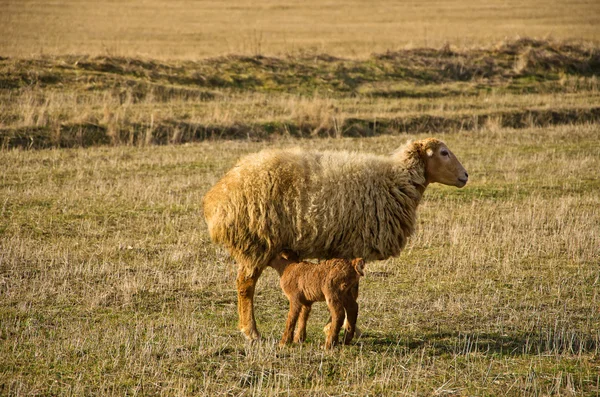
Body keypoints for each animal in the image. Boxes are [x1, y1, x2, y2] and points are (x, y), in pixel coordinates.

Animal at [204, 138, 472, 338]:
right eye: (444, 152)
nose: (466, 176)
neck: (395, 181)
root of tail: (216, 198)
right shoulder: (355, 244)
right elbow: (352, 293)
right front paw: (339, 327)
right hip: (256, 240)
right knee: (245, 286)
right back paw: (251, 332)